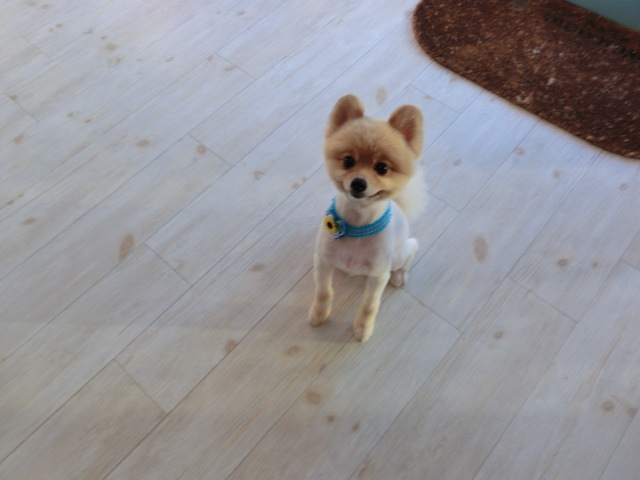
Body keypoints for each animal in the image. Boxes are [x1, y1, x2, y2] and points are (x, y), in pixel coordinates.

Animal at [309, 94, 425, 342]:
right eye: (348, 161)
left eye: (382, 168)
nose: (358, 183)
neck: (357, 226)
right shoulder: (322, 262)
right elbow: (324, 291)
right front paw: (319, 313)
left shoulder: (378, 276)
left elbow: (369, 305)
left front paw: (362, 329)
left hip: (398, 255)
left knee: (412, 248)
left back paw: (400, 274)